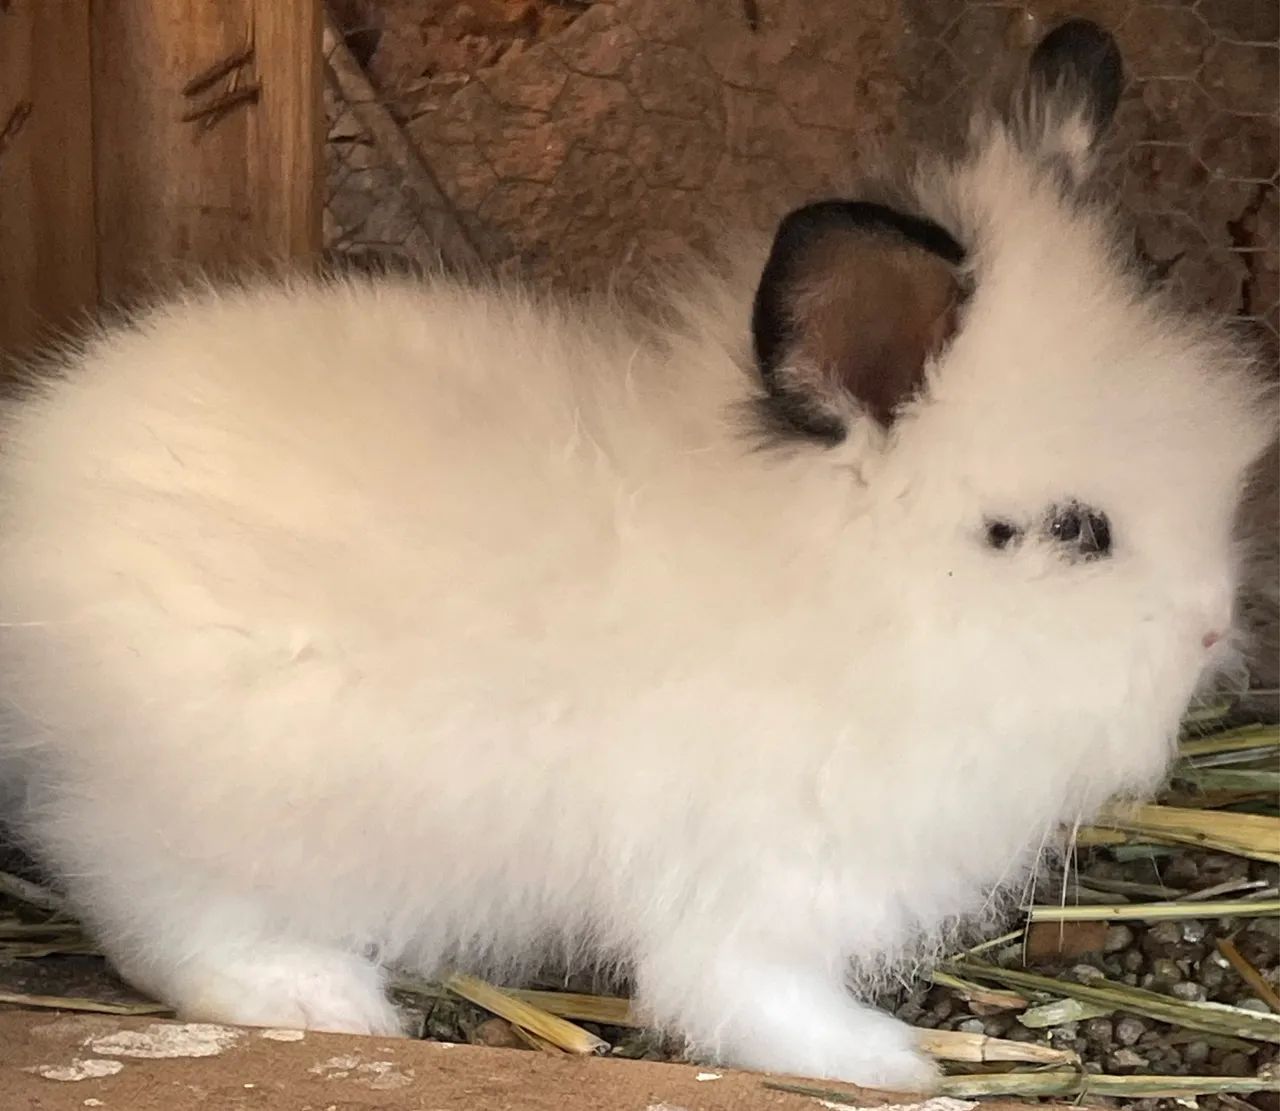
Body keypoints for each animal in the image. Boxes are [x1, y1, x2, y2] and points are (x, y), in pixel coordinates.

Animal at [0, 19, 1275, 1091]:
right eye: (1067, 530)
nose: (1211, 629)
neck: (852, 597)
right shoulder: (758, 890)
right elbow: (744, 1000)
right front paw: (892, 1065)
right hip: (208, 808)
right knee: (155, 910)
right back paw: (320, 996)